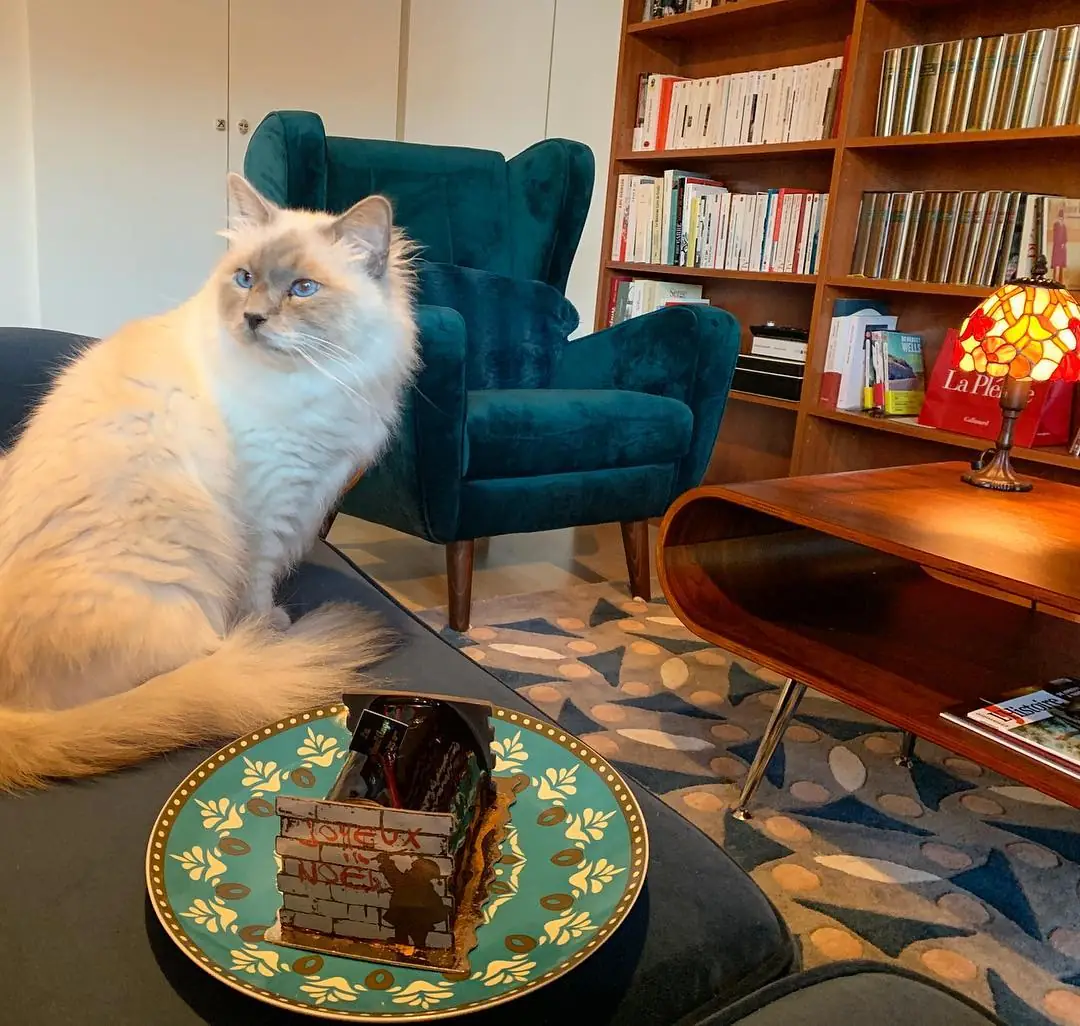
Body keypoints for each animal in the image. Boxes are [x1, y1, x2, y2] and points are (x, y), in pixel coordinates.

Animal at [0, 173, 419, 789]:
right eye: (245, 279)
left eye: (302, 289)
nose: (253, 319)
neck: (313, 383)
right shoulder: (270, 503)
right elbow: (259, 583)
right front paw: (270, 620)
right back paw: (257, 652)